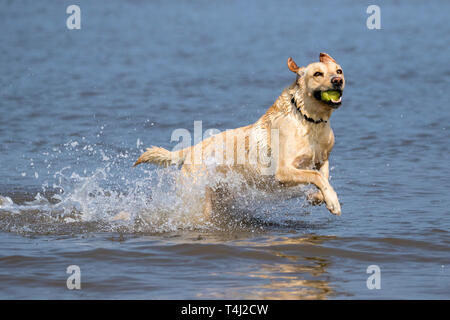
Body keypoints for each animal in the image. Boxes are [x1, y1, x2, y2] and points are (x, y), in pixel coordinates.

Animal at [134, 52, 344, 220]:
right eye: (318, 74)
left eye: (339, 71)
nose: (338, 81)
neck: (308, 119)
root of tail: (191, 150)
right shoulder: (283, 171)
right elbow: (317, 176)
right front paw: (333, 201)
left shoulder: (322, 159)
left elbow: (323, 176)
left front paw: (318, 198)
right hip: (195, 198)